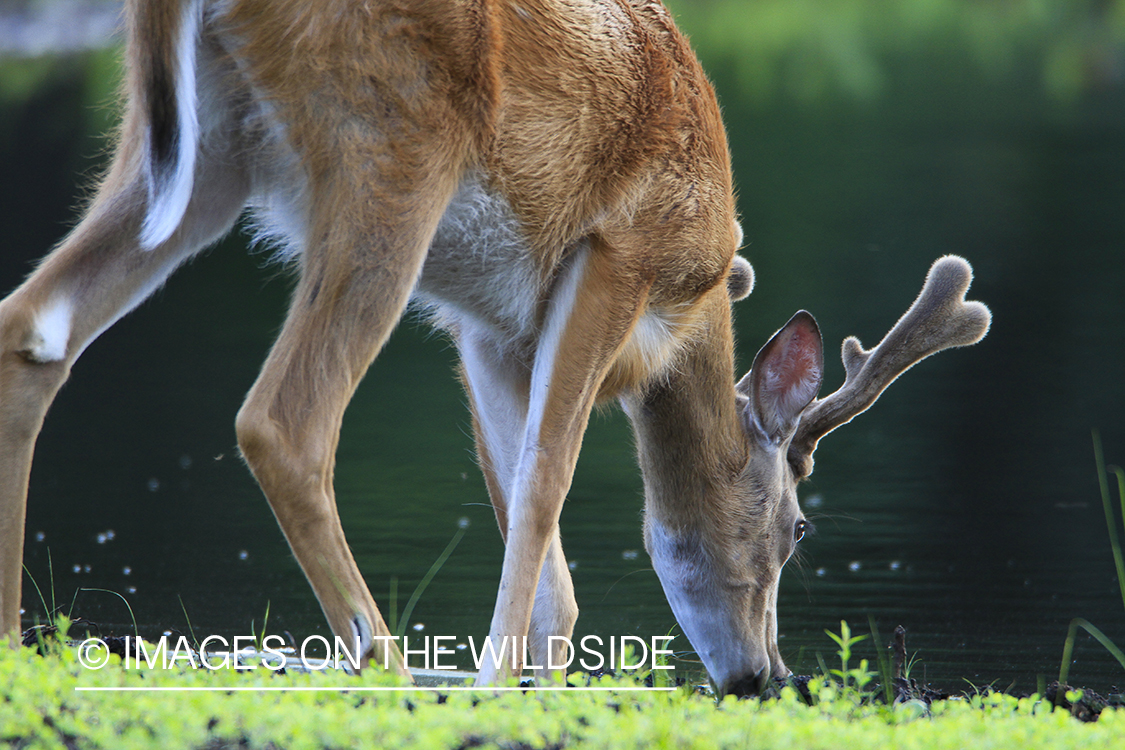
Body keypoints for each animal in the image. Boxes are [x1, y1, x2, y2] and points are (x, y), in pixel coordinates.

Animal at [0, 0, 990, 697]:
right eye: (797, 528)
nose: (764, 675)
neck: (695, 300)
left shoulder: (485, 324)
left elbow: (527, 516)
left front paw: (527, 682)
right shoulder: (615, 256)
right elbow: (546, 477)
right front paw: (492, 680)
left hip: (194, 149)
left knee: (31, 328)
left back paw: (13, 646)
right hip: (389, 143)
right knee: (281, 420)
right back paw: (386, 669)